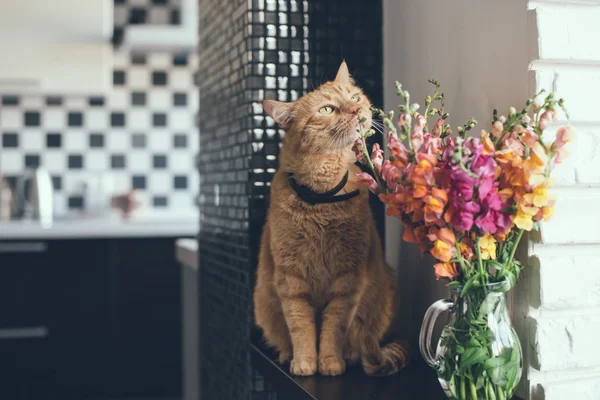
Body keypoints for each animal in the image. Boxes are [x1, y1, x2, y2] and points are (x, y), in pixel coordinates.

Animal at [253, 61, 408, 376]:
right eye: (327, 109)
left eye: (355, 97)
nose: (356, 109)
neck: (321, 197)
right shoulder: (291, 280)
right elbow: (300, 327)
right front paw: (304, 362)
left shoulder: (348, 278)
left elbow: (334, 327)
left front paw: (330, 361)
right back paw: (287, 354)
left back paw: (349, 355)